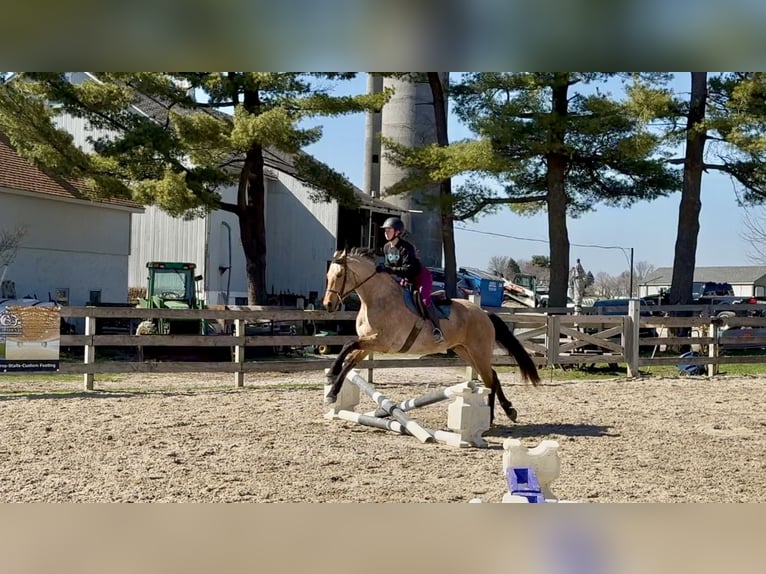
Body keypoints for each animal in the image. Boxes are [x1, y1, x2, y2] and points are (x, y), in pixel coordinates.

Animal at [322, 248, 540, 424]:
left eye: (340, 274)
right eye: (328, 275)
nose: (328, 305)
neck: (376, 299)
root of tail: (484, 313)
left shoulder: (381, 343)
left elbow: (348, 344)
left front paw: (331, 374)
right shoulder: (369, 344)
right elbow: (349, 360)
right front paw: (332, 391)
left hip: (479, 352)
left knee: (490, 380)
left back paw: (492, 416)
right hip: (465, 351)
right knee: (492, 376)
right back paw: (509, 410)